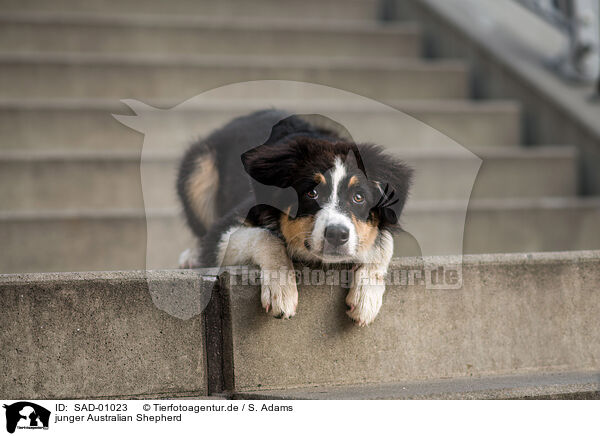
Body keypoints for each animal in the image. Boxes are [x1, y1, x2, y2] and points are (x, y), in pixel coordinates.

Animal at [177, 110, 412, 326]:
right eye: (311, 193)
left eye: (358, 197)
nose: (337, 235)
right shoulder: (223, 229)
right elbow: (266, 236)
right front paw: (282, 290)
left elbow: (385, 240)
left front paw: (367, 296)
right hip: (198, 168)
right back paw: (191, 256)